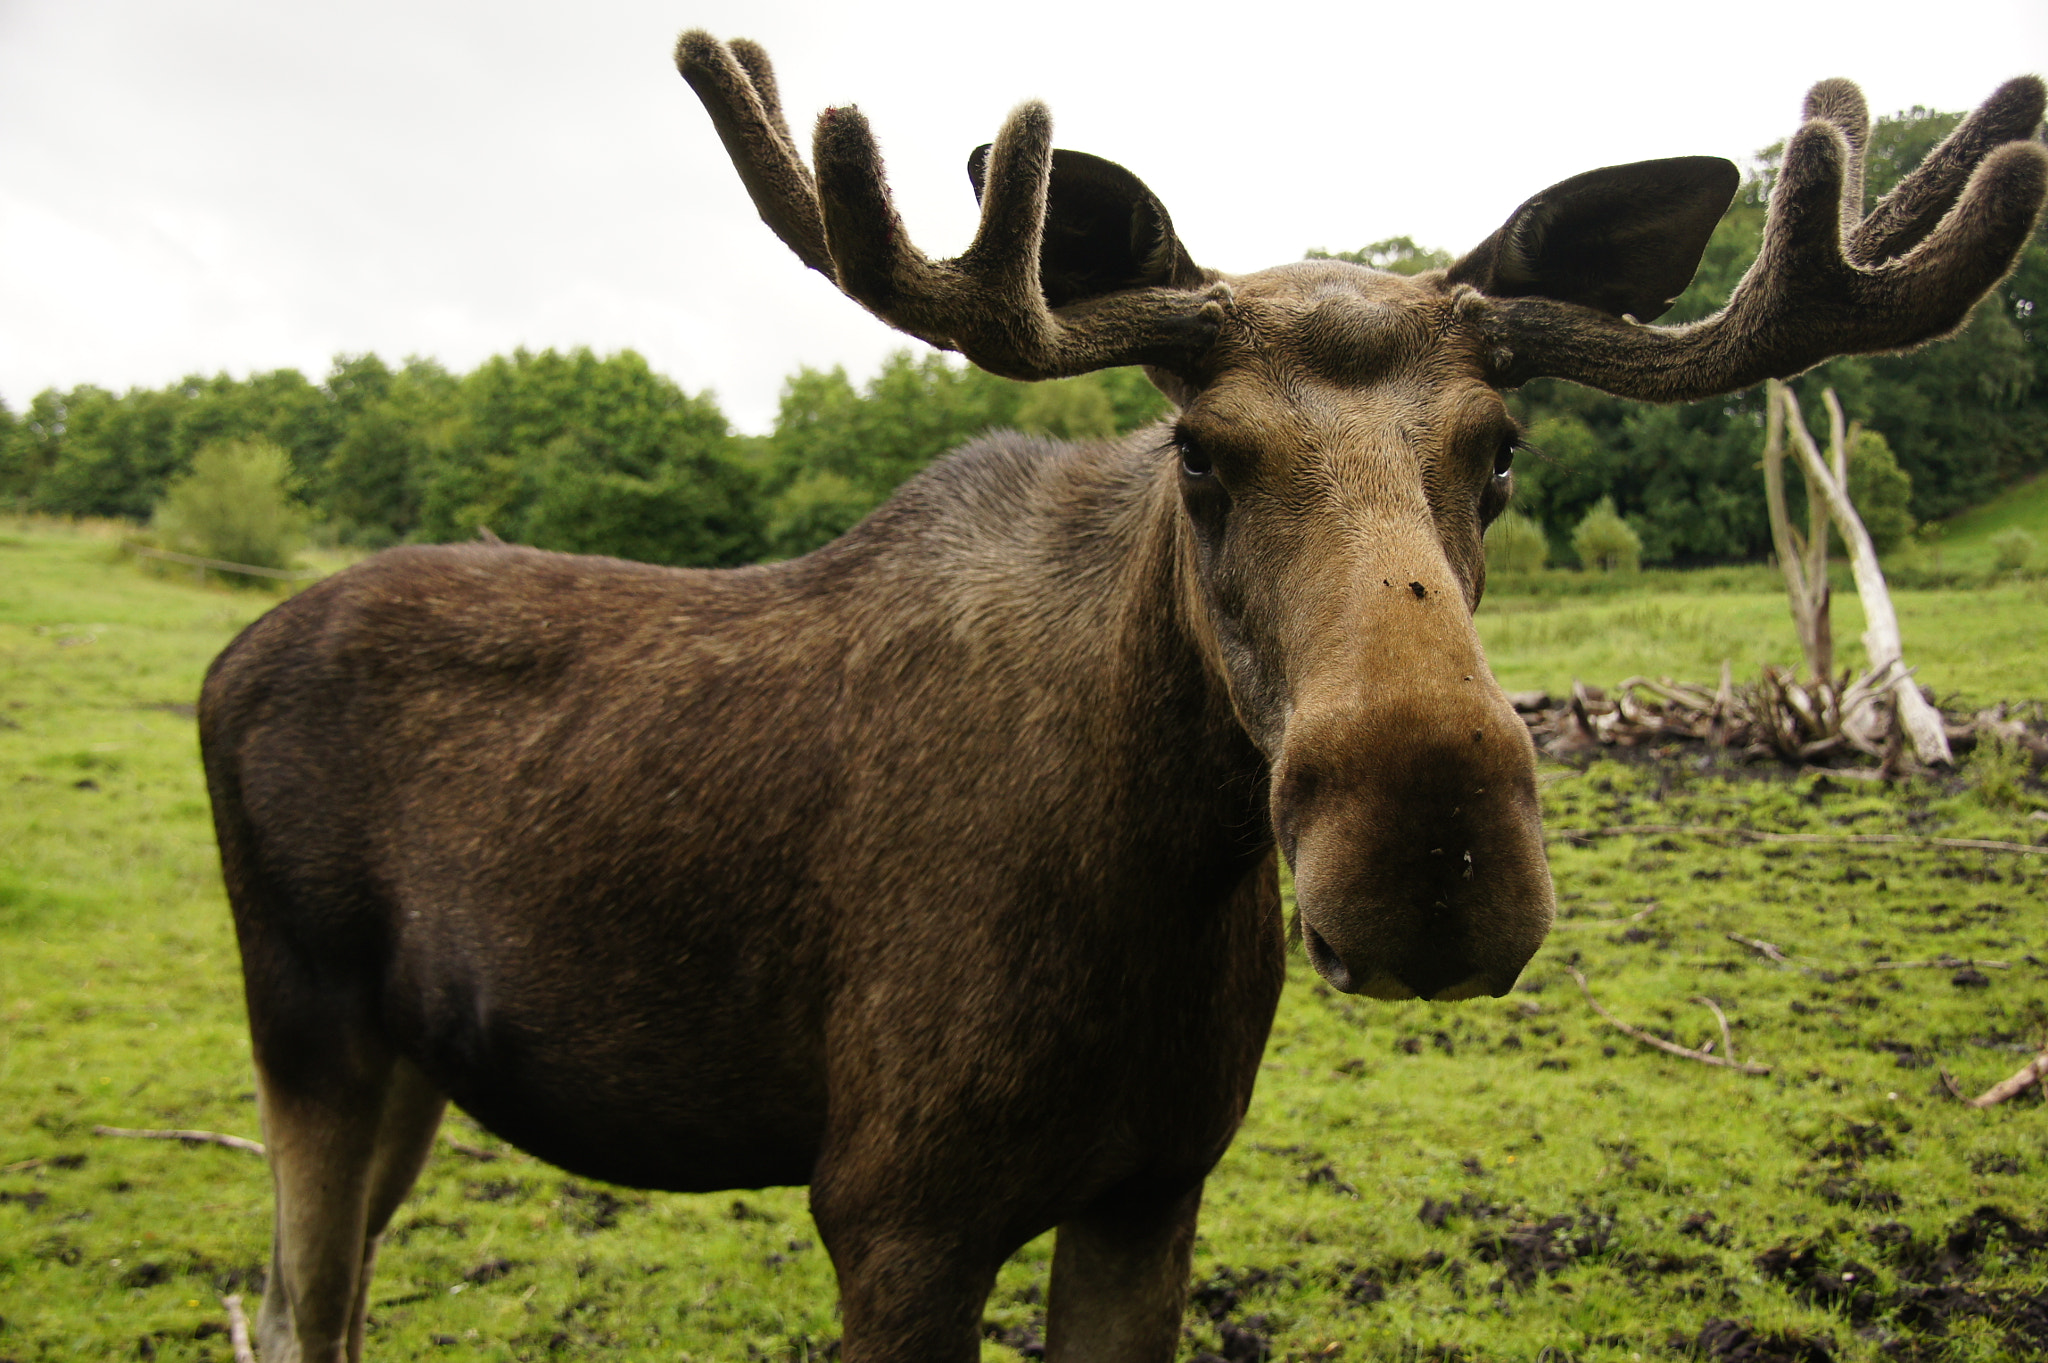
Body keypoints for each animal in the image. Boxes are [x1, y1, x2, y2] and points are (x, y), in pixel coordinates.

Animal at [197, 29, 2046, 1361]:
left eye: (1502, 450)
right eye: (1201, 452)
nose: (1434, 859)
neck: (1144, 881)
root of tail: (224, 658)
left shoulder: (1157, 1186)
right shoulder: (891, 1206)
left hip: (414, 1054)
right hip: (307, 1025)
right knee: (292, 1308)